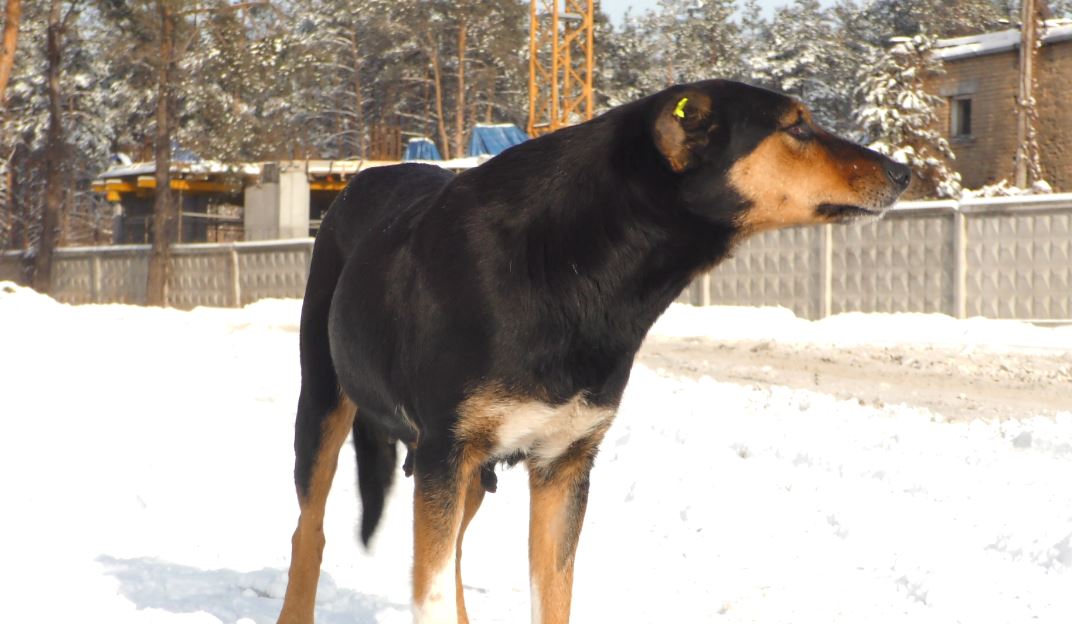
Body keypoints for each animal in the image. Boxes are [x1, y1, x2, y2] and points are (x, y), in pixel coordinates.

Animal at [278, 80, 913, 621]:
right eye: (796, 127)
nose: (903, 171)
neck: (577, 270)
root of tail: (357, 181)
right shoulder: (445, 450)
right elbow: (426, 590)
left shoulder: (563, 461)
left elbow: (551, 596)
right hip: (326, 403)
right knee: (309, 531)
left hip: (470, 471)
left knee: (452, 550)